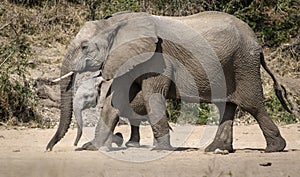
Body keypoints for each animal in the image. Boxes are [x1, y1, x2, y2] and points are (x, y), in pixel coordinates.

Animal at [47, 11, 290, 152]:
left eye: (84, 46)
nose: (49, 149)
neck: (116, 23)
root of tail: (257, 42)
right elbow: (114, 101)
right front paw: (91, 148)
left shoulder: (157, 57)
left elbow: (151, 97)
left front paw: (160, 150)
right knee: (226, 105)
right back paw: (216, 150)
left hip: (243, 63)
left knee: (252, 104)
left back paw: (274, 149)